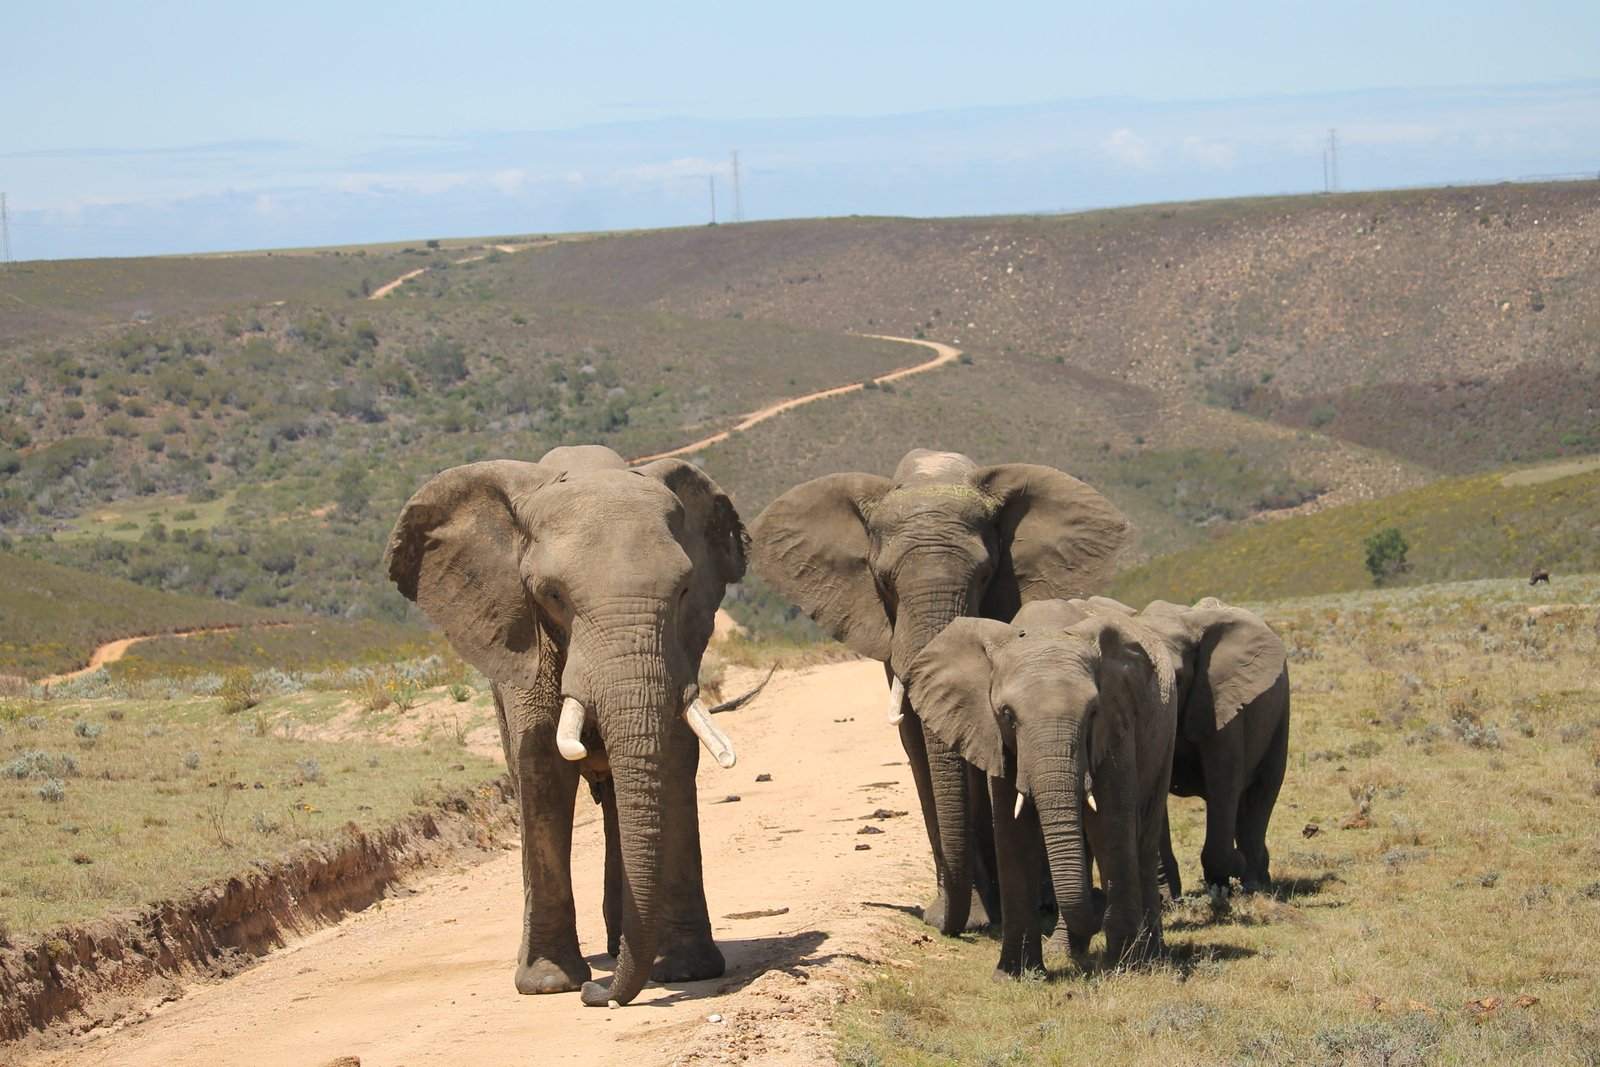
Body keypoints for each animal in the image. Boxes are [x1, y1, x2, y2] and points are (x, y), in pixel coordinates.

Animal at [384, 444, 747, 1007]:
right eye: (553, 596)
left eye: (686, 589)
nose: (598, 995)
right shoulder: (519, 634)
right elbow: (542, 770)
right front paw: (551, 983)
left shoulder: (680, 647)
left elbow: (673, 756)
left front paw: (688, 971)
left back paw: (624, 946)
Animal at [750, 450, 1129, 936]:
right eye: (884, 581)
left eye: (985, 575)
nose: (944, 924)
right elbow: (917, 741)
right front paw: (968, 916)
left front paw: (987, 916)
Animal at [905, 605, 1177, 973]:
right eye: (1007, 715)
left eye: (1093, 712)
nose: (1098, 898)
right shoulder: (995, 738)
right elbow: (1012, 831)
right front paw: (1013, 975)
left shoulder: (1116, 725)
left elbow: (1111, 825)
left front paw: (1123, 968)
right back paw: (1070, 949)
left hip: (1165, 730)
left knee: (1143, 837)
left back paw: (1152, 956)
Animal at [1134, 597, 1289, 898]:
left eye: (1179, 677)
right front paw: (1169, 899)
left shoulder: (1220, 697)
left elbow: (1224, 780)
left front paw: (1227, 876)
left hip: (1280, 709)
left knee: (1260, 793)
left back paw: (1255, 883)